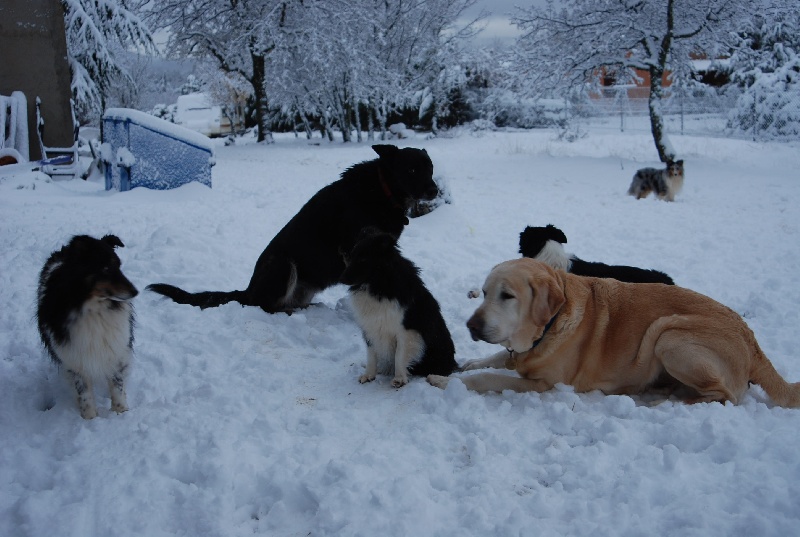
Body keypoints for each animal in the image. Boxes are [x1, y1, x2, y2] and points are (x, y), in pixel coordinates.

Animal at [36, 234, 138, 418]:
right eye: (105, 268)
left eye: (119, 266)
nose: (135, 292)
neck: (92, 307)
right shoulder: (74, 357)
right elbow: (83, 392)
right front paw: (90, 418)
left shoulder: (115, 349)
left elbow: (117, 384)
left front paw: (120, 412)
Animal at [147, 144, 440, 312]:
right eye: (411, 170)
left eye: (430, 168)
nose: (434, 190)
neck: (382, 190)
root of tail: (248, 290)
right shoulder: (354, 250)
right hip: (283, 264)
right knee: (265, 307)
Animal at [340, 230, 460, 386]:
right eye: (351, 257)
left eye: (363, 259)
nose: (341, 279)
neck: (378, 285)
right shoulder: (370, 327)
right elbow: (371, 354)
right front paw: (369, 375)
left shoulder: (406, 330)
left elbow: (399, 355)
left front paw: (399, 379)